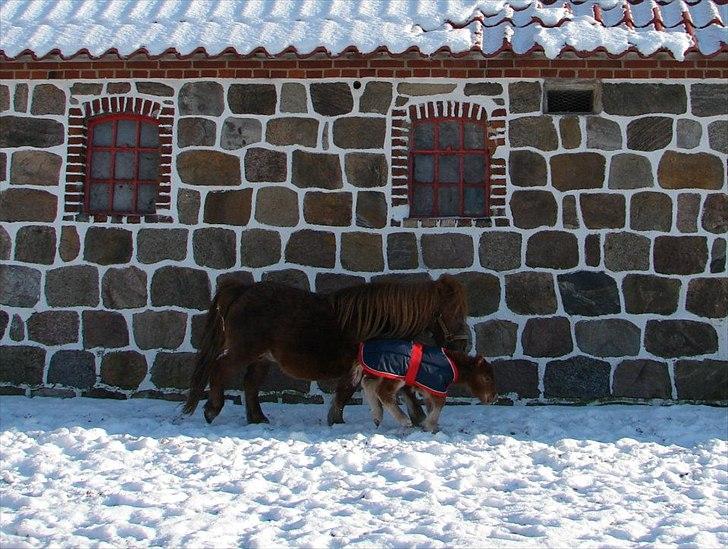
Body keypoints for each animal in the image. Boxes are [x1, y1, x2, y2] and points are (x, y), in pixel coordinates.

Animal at [180, 274, 470, 424]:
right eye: (452, 311)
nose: (463, 343)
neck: (381, 320)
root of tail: (243, 289)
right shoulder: (362, 364)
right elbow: (346, 391)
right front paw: (336, 420)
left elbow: (401, 388)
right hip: (245, 351)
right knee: (219, 369)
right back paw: (212, 409)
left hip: (261, 357)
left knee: (250, 384)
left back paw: (258, 418)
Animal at [362, 352, 498, 432]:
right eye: (487, 378)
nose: (494, 397)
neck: (452, 365)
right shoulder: (437, 388)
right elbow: (439, 405)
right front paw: (430, 426)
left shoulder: (428, 391)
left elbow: (430, 407)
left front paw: (432, 426)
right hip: (396, 377)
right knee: (382, 392)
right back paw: (405, 421)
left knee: (368, 384)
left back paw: (377, 417)